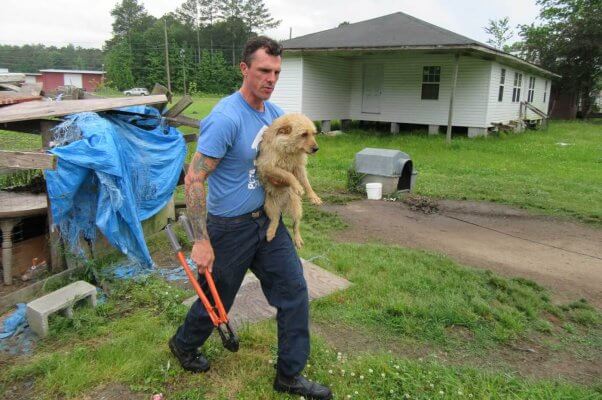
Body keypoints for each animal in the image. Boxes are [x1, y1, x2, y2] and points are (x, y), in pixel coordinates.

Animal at [258, 112, 324, 248]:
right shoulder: (268, 166)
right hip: (269, 206)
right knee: (275, 219)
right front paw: (297, 186)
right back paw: (270, 232)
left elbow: (306, 183)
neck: (287, 149)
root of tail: (282, 204)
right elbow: (287, 174)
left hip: (296, 207)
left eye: (313, 134)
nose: (316, 149)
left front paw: (313, 196)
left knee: (296, 224)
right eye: (304, 134)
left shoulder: (299, 167)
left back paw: (297, 239)